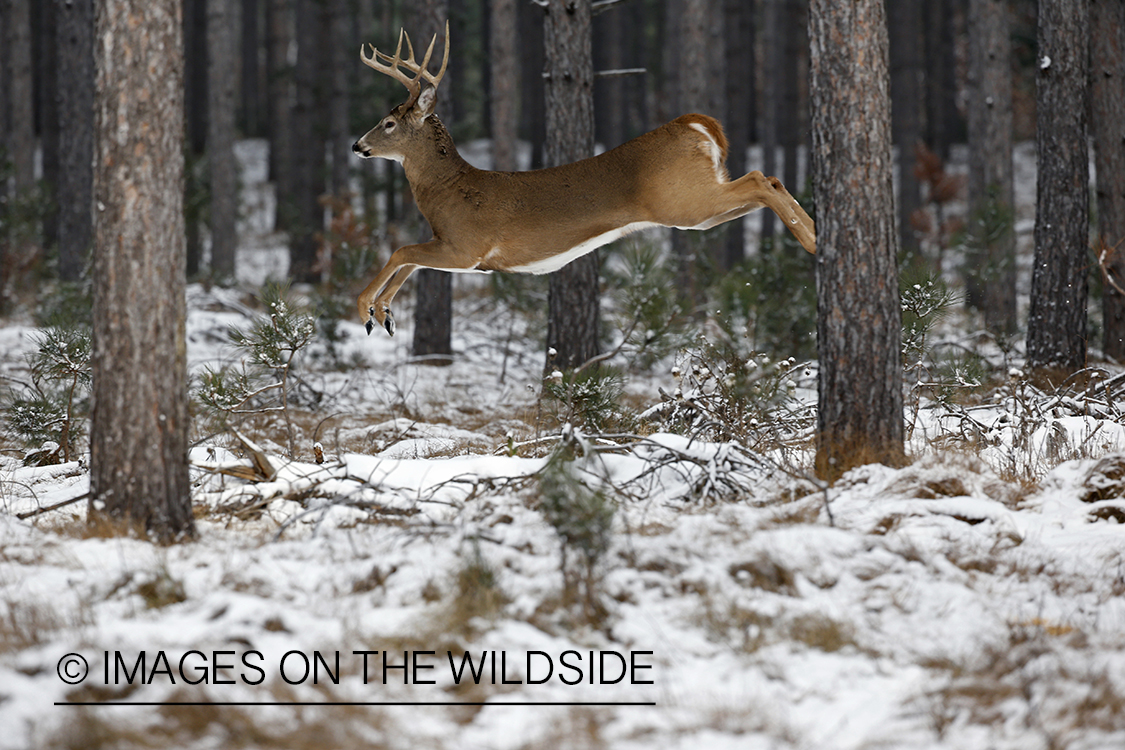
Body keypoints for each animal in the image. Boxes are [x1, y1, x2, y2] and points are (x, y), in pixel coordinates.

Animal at [353, 24, 819, 335]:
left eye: (389, 123)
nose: (358, 146)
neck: (449, 191)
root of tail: (695, 123)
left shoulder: (467, 247)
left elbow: (401, 251)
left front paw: (365, 310)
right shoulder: (452, 247)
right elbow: (410, 261)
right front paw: (386, 314)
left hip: (685, 200)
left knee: (761, 177)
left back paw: (812, 243)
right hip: (697, 209)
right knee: (766, 185)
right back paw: (817, 237)